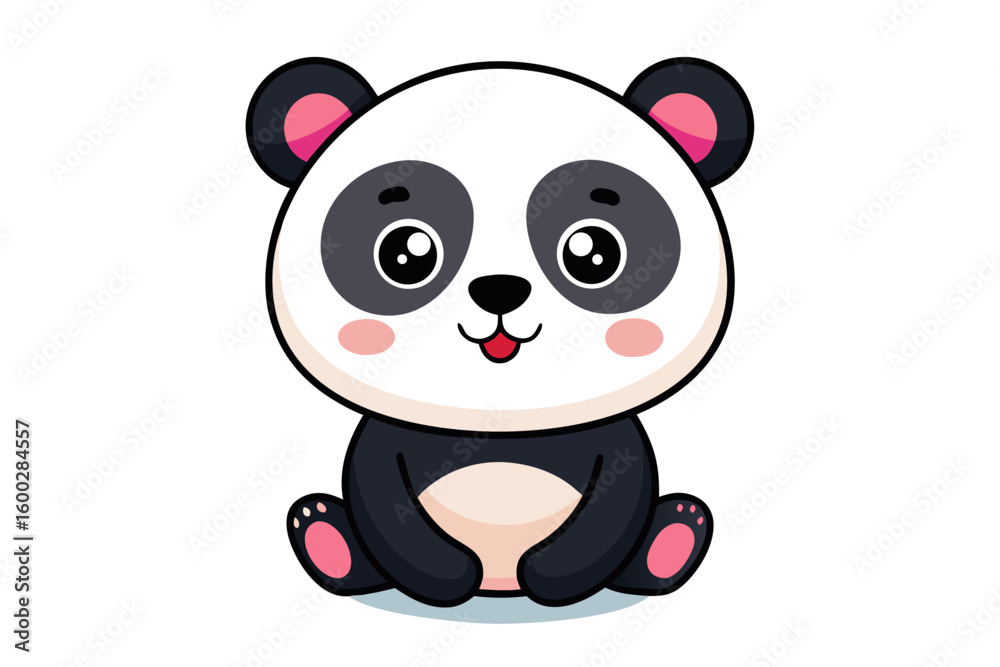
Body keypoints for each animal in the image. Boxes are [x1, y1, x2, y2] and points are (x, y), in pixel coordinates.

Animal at [247, 57, 753, 608]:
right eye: (404, 254)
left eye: (595, 253)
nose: (499, 290)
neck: (502, 426)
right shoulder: (389, 440)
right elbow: (381, 497)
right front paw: (447, 576)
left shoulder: (611, 442)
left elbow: (617, 499)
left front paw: (550, 575)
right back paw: (325, 537)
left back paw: (674, 539)